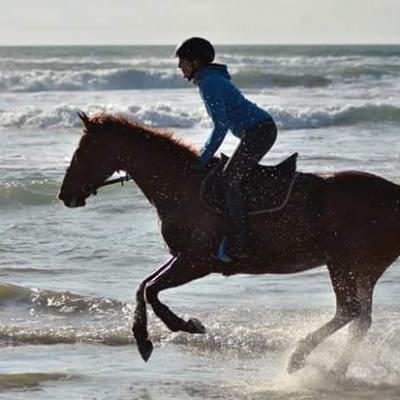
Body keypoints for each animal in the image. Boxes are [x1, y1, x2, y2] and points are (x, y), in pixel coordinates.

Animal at [57, 111, 400, 376]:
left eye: (83, 151)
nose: (64, 195)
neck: (181, 186)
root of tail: (394, 194)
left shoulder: (196, 261)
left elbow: (152, 290)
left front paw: (185, 325)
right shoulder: (184, 256)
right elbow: (143, 286)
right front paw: (145, 338)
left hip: (344, 263)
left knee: (349, 310)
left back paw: (299, 356)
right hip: (366, 267)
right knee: (360, 319)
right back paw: (336, 368)